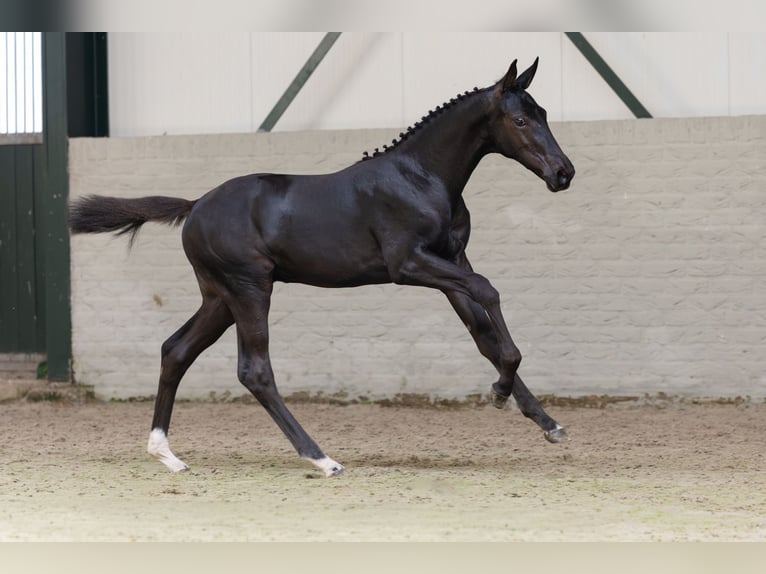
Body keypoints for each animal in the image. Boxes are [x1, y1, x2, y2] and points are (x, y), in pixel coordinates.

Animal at [69, 58, 575, 477]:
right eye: (520, 119)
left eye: (545, 113)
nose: (563, 173)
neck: (420, 177)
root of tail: (194, 207)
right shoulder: (410, 263)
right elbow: (488, 291)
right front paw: (499, 392)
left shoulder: (450, 263)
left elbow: (483, 335)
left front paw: (545, 421)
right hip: (250, 288)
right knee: (254, 370)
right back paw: (321, 458)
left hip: (219, 296)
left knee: (175, 350)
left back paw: (167, 454)